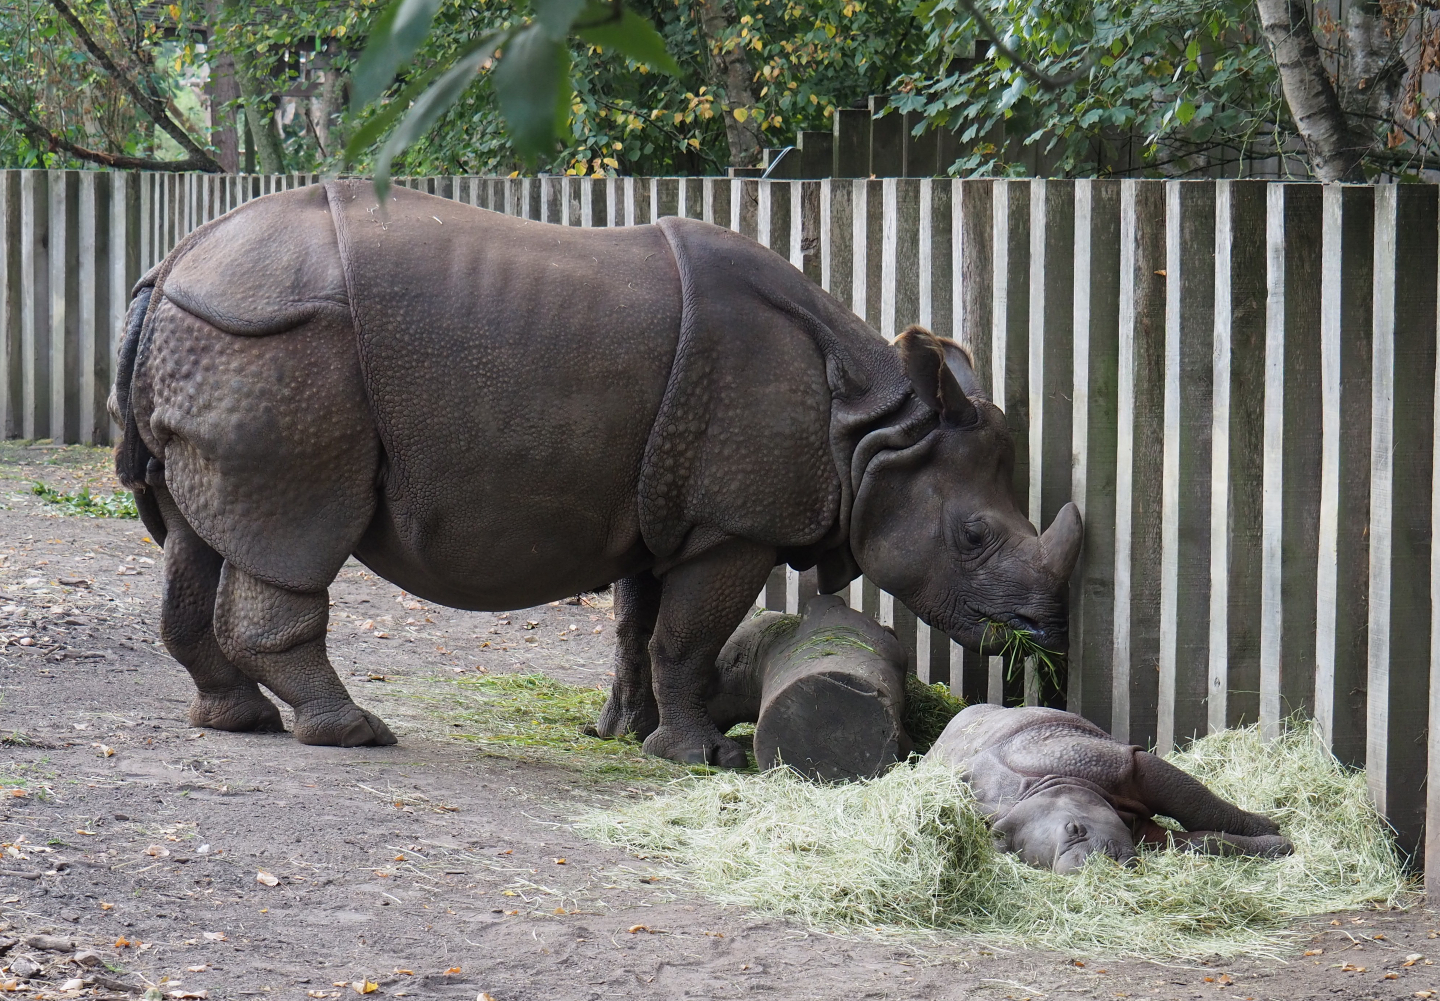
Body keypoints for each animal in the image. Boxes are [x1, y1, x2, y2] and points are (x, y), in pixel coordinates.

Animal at [110, 180, 1081, 765]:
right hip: (279, 343)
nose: (1046, 633)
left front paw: (622, 730)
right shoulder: (730, 524)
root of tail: (169, 266)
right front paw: (702, 755)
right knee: (296, 530)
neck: (871, 431)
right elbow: (686, 637)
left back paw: (237, 719)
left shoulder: (664, 510)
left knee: (195, 535)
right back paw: (353, 733)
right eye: (973, 536)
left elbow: (636, 627)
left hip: (226, 337)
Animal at [925, 705, 1293, 872]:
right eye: (1037, 865)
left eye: (1076, 828)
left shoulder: (1120, 763)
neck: (1035, 790)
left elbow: (1195, 803)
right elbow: (1194, 841)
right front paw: (1278, 846)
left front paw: (1274, 831)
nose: (1086, 870)